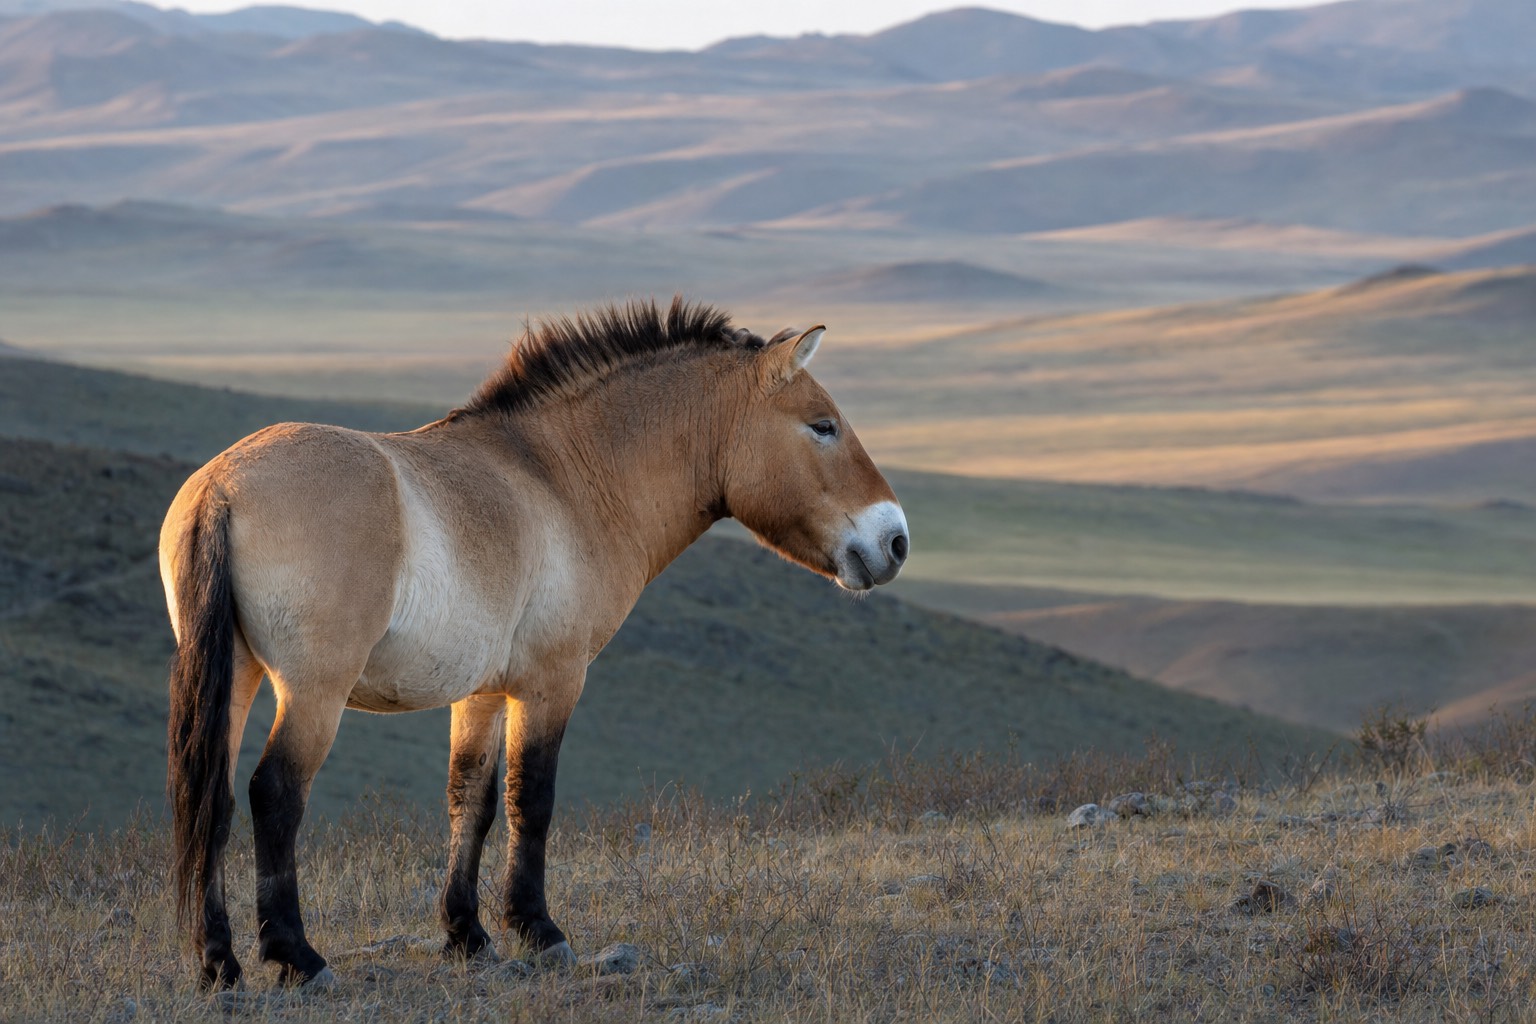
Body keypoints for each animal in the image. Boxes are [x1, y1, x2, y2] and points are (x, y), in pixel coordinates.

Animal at [160, 297, 909, 990]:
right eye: (822, 426)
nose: (895, 542)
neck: (562, 477)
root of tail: (221, 489)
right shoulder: (553, 681)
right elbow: (532, 797)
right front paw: (539, 930)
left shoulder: (483, 693)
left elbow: (472, 801)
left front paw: (467, 934)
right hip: (313, 691)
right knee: (274, 792)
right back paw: (297, 957)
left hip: (238, 678)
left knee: (214, 801)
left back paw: (219, 963)